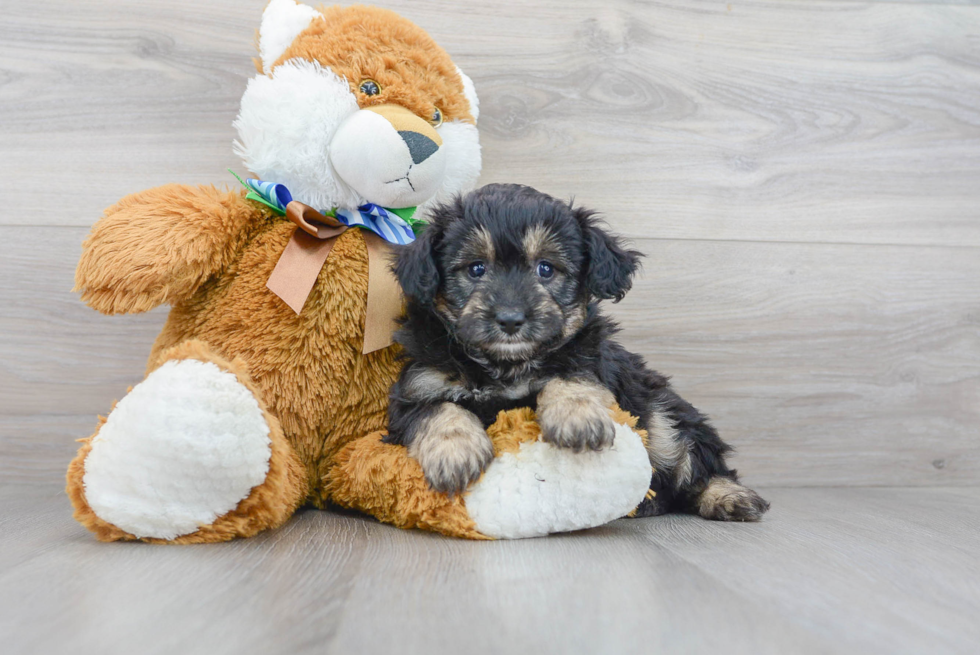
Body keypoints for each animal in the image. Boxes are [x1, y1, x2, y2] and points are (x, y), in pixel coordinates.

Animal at [386, 182, 768, 520]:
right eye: (476, 268)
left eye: (546, 269)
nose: (510, 319)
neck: (507, 365)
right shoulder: (418, 386)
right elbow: (439, 410)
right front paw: (455, 452)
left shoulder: (592, 359)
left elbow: (571, 375)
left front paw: (577, 416)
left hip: (662, 415)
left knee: (695, 462)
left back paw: (728, 497)